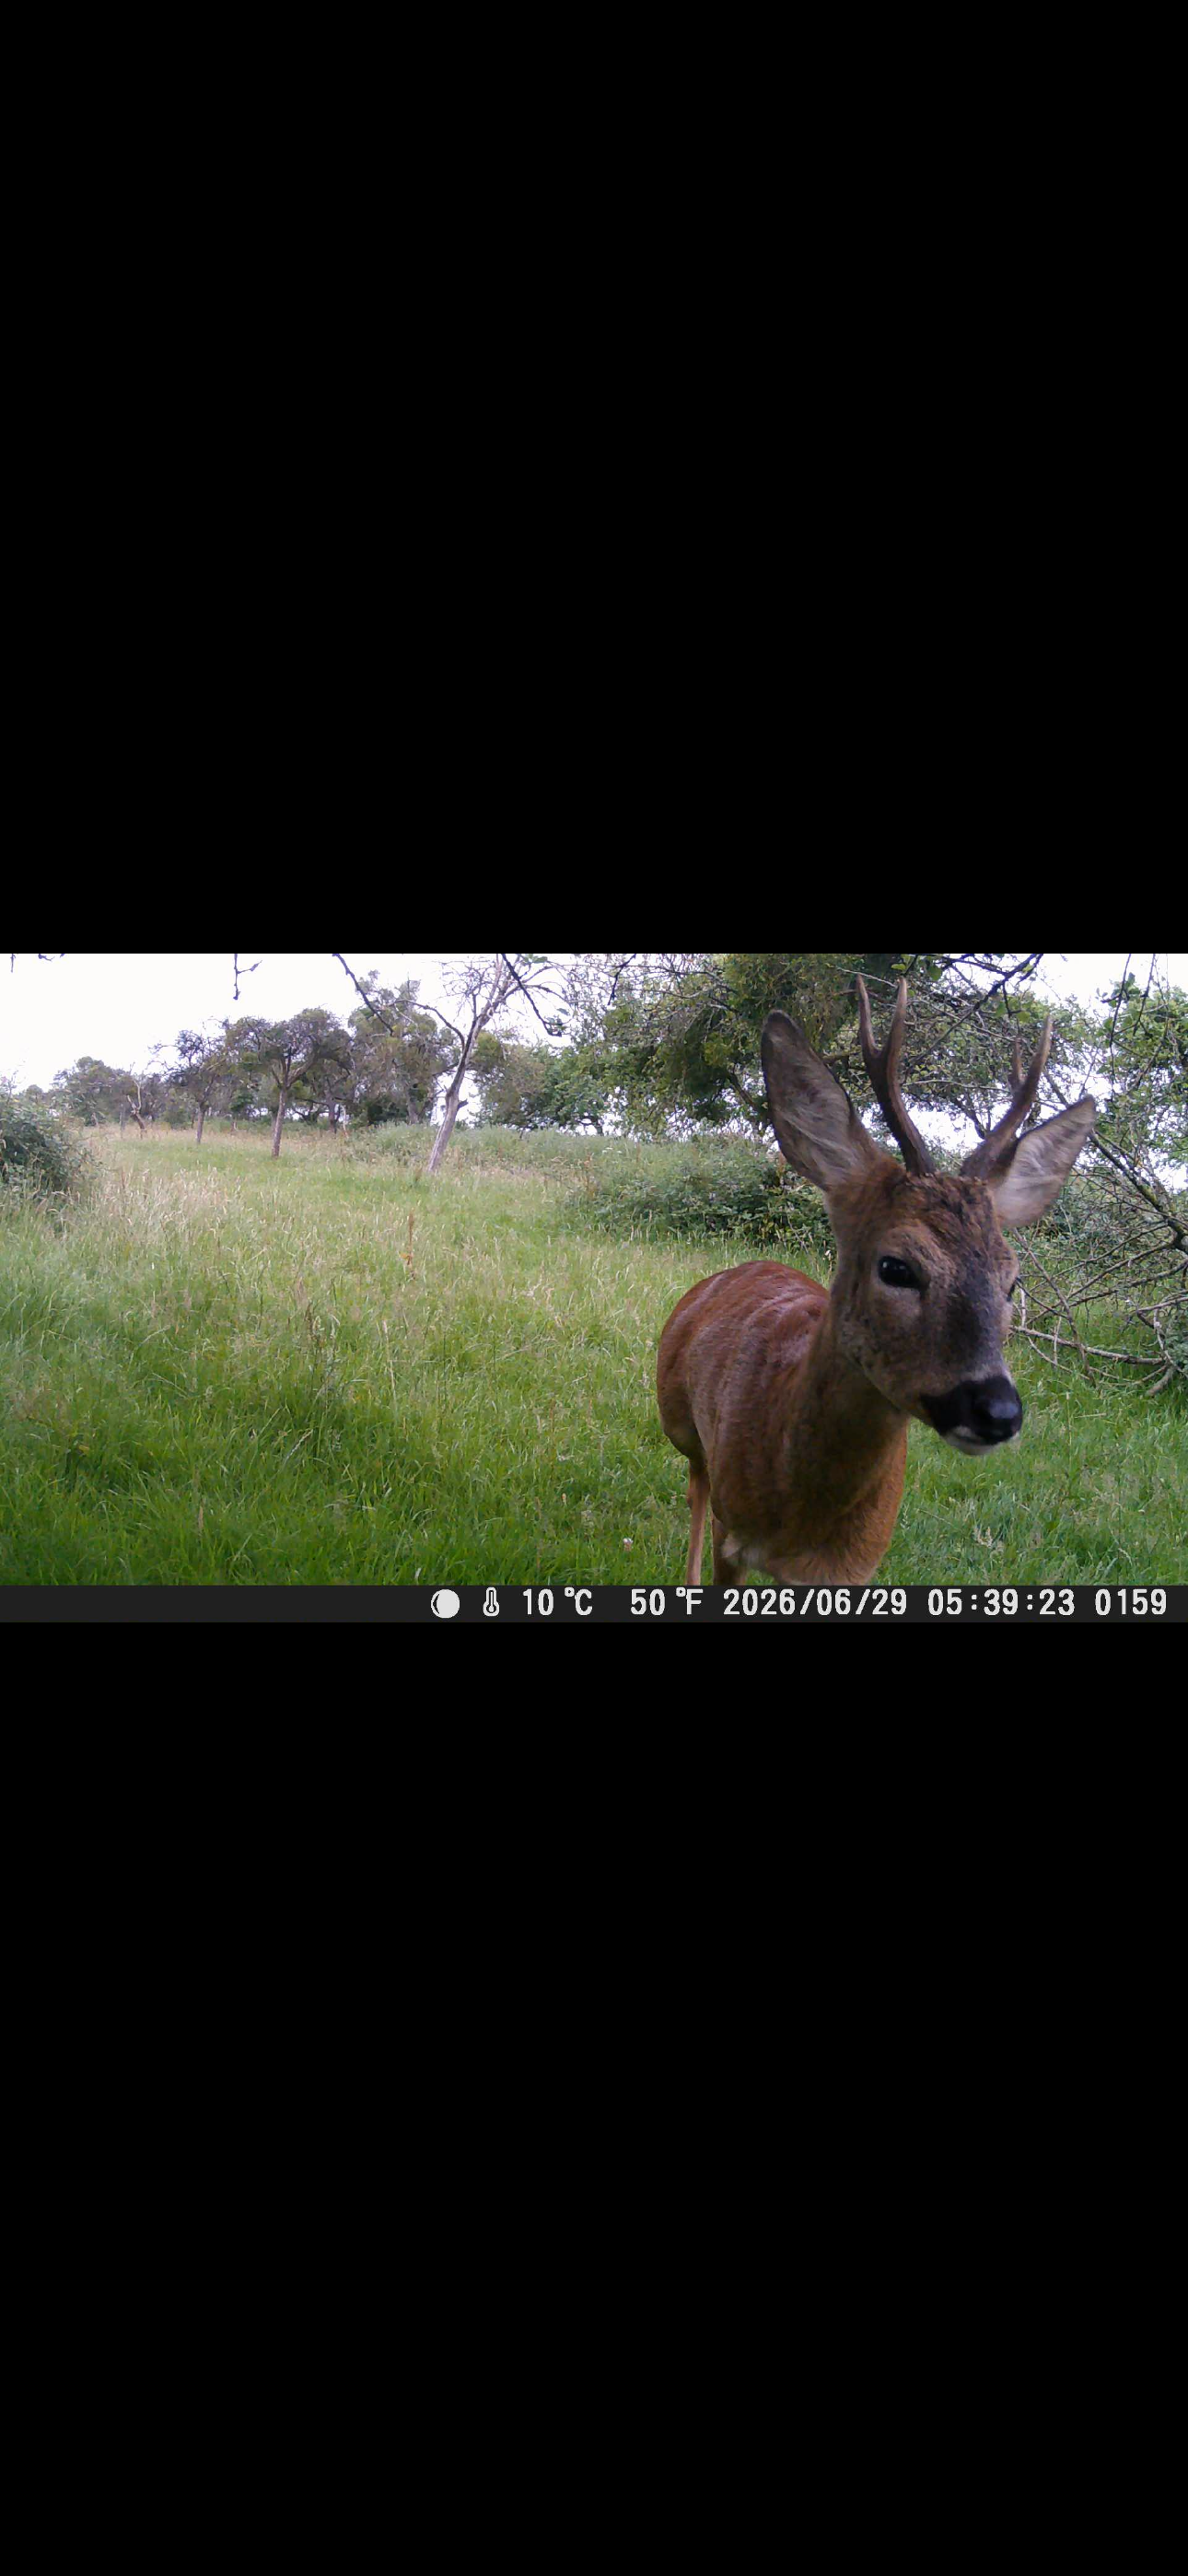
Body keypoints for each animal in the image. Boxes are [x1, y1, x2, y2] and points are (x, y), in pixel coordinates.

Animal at [656, 979, 1097, 1586]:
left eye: (1012, 1281)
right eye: (896, 1267)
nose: (997, 1411)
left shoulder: (854, 1567)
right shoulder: (733, 1532)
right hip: (679, 1420)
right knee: (695, 1483)